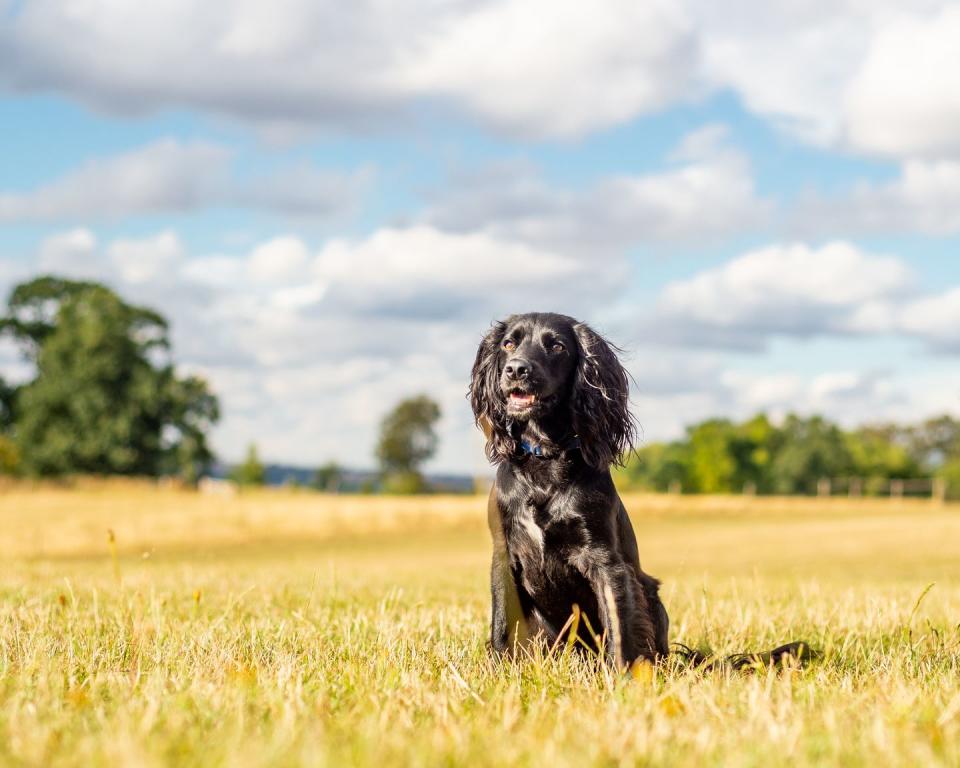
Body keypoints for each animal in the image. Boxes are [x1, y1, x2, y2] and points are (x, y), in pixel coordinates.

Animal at [470, 308, 668, 668]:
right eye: (508, 343)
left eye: (557, 346)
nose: (516, 369)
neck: (545, 459)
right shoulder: (504, 554)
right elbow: (502, 625)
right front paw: (499, 670)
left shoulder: (605, 559)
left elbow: (619, 624)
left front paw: (621, 676)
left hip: (650, 592)